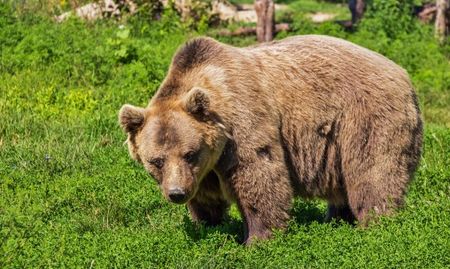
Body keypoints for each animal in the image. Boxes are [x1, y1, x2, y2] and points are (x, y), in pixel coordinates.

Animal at [118, 34, 422, 244]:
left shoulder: (243, 124)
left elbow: (259, 176)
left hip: (365, 117)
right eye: (156, 160)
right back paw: (337, 219)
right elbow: (206, 197)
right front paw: (208, 225)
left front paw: (257, 239)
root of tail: (404, 74)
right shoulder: (204, 169)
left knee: (372, 172)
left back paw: (377, 223)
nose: (176, 193)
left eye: (189, 153)